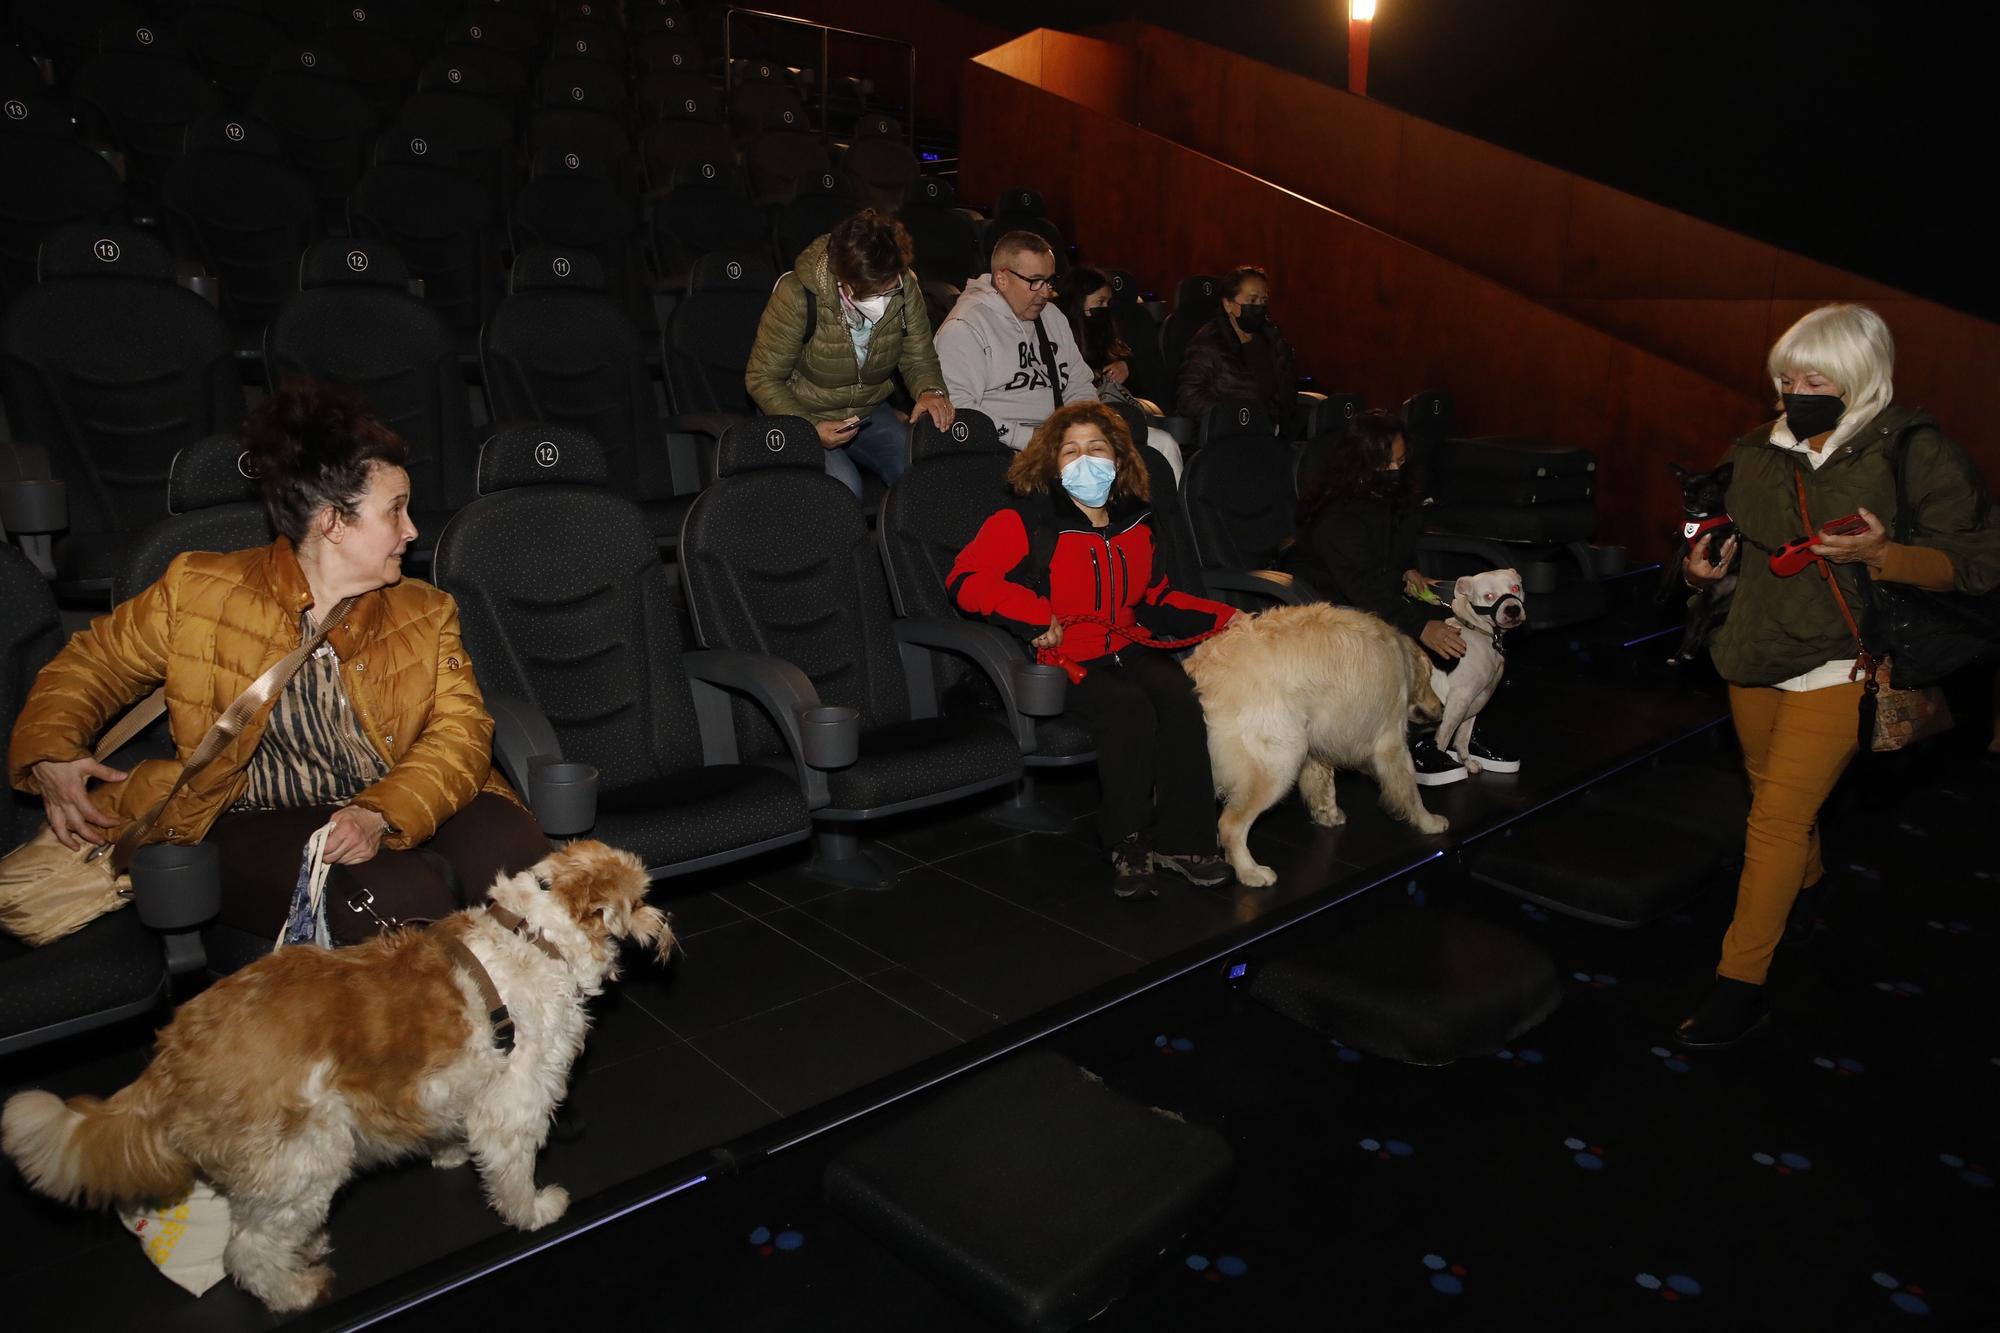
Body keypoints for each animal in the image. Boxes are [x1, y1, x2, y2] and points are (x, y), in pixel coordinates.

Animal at [0, 840, 672, 1304]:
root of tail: (171, 1058)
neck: (531, 938)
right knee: (246, 1251)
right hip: (307, 1158)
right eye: (638, 900)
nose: (662, 920)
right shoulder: (516, 1103)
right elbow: (512, 1176)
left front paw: (448, 1153)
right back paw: (295, 1291)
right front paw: (535, 1211)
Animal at [1184, 600, 1456, 880]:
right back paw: (1250, 872)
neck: (1401, 658)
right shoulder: (1391, 742)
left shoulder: (1316, 741)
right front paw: (1428, 821)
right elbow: (1410, 789)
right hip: (1278, 762)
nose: (1443, 707)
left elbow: (1322, 784)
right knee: (1229, 825)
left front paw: (1329, 815)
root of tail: (1201, 674)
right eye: (1430, 679)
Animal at [1656, 460, 1736, 660]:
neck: (1700, 520)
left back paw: (1690, 651)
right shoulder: (1681, 551)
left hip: (1720, 608)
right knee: (1695, 629)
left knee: (1704, 626)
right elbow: (1671, 573)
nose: (1689, 504)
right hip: (1698, 610)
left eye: (1706, 494)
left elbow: (1714, 537)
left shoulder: (1728, 534)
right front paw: (1662, 594)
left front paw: (1715, 555)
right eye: (1685, 492)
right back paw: (1680, 654)